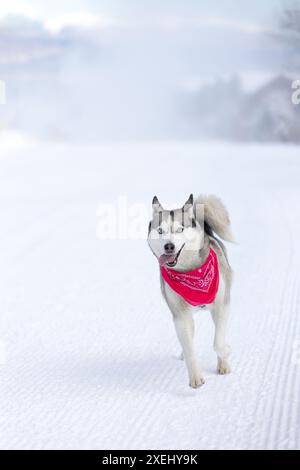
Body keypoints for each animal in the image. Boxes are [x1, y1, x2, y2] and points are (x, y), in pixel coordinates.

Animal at [148, 193, 234, 388]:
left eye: (180, 229)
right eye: (160, 231)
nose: (169, 246)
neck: (190, 271)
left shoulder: (222, 306)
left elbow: (218, 343)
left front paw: (226, 353)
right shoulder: (180, 316)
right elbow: (189, 350)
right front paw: (195, 377)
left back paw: (223, 364)